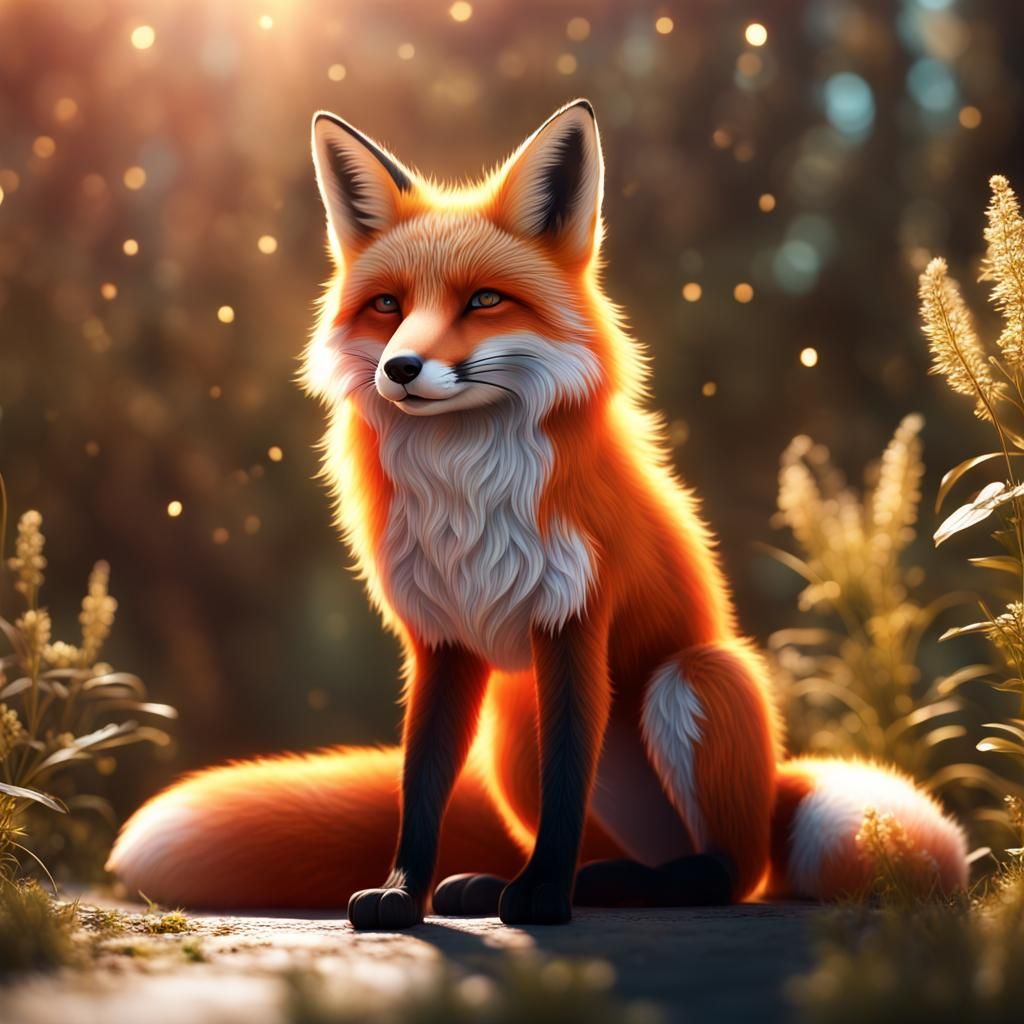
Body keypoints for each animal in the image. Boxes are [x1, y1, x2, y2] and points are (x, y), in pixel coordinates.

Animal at [107, 100, 968, 927]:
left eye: (484, 299)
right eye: (387, 306)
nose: (400, 368)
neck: (466, 495)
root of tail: (771, 796)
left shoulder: (573, 619)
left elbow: (564, 784)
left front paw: (545, 900)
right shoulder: (441, 641)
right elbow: (422, 784)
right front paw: (403, 894)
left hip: (695, 679)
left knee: (727, 873)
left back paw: (601, 885)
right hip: (510, 724)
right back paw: (508, 883)